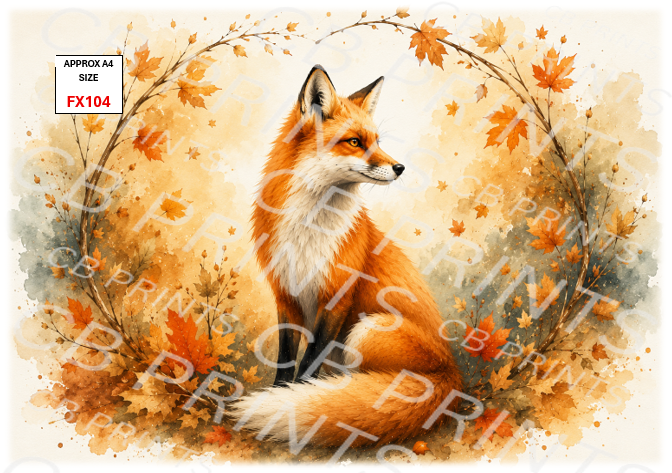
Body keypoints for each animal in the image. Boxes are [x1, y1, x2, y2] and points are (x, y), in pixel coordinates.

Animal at [229, 65, 463, 447]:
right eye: (355, 142)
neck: (309, 229)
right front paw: (281, 394)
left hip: (367, 330)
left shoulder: (337, 296)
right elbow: (286, 359)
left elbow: (309, 361)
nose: (400, 167)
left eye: (378, 141)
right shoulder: (286, 294)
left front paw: (292, 403)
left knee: (368, 388)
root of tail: (451, 374)